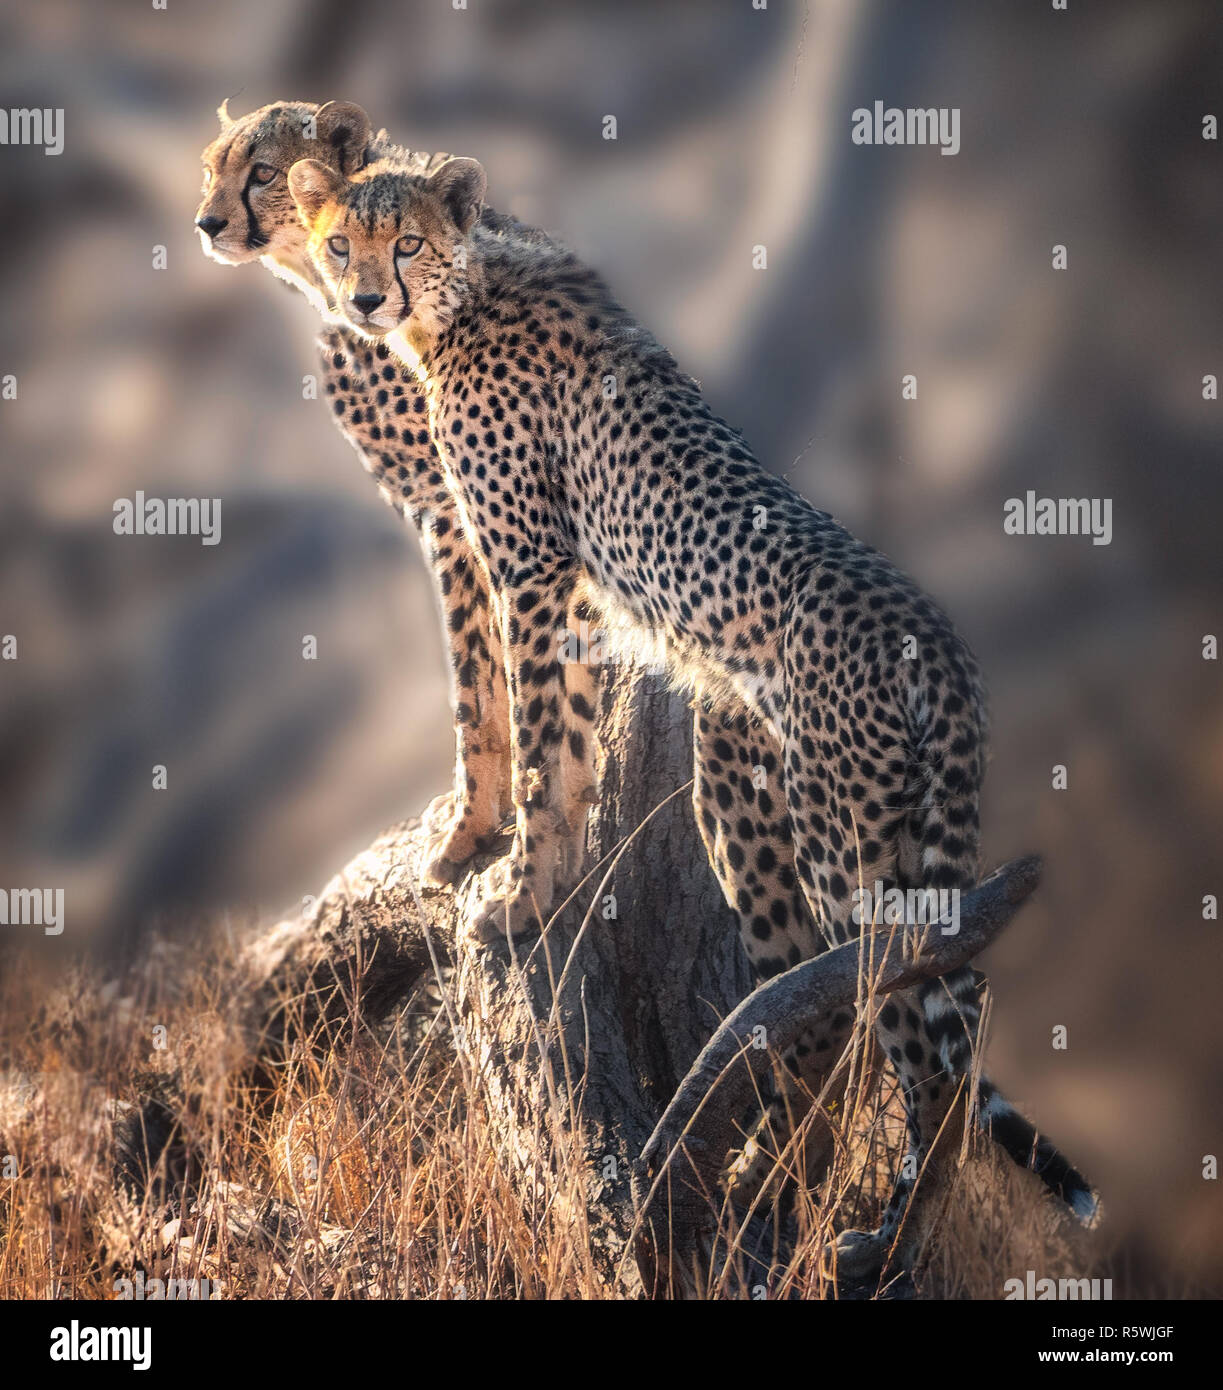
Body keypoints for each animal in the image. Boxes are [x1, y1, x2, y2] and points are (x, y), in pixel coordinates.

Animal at [285, 147, 1099, 1281]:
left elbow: (532, 741)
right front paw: (548, 876)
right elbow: (564, 745)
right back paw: (819, 1201)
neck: (463, 299)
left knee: (896, 1018)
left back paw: (865, 1235)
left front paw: (518, 896)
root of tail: (934, 638)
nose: (362, 298)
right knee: (913, 1004)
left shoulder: (531, 568)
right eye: (338, 243)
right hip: (817, 808)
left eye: (403, 242)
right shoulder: (576, 591)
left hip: (845, 839)